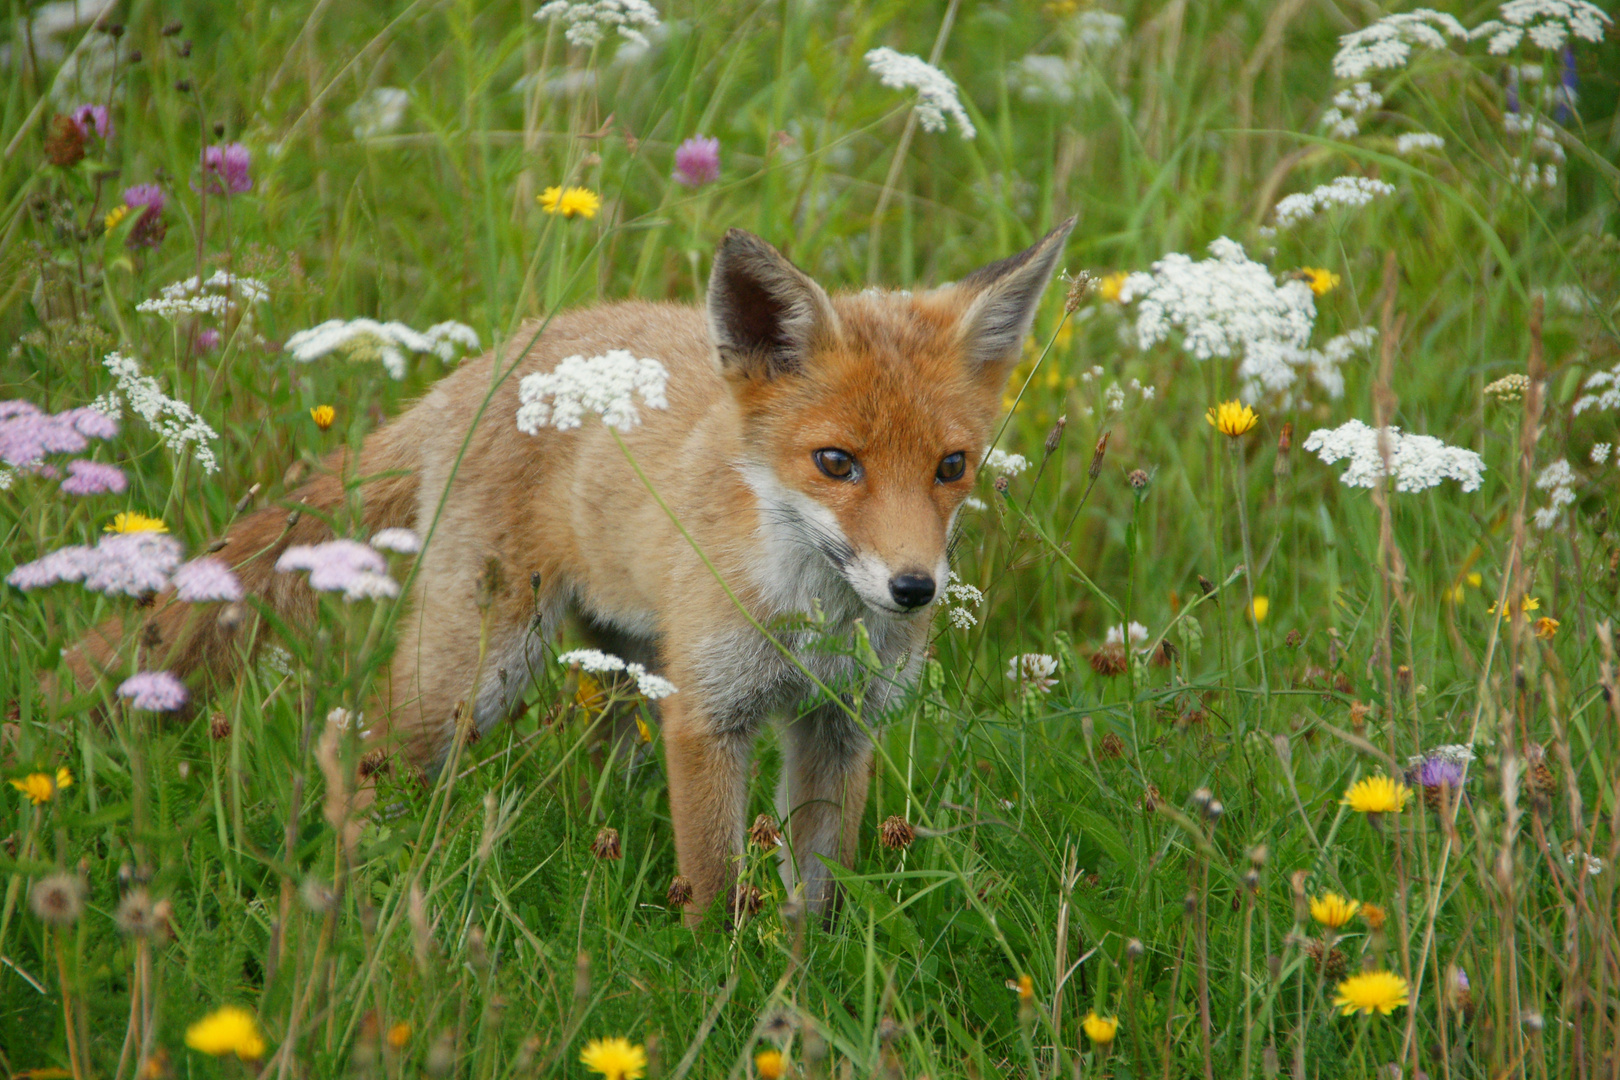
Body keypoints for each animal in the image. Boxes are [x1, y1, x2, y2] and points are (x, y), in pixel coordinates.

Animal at [66, 216, 1075, 919]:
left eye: (952, 467)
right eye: (836, 463)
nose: (914, 589)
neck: (814, 622)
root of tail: (479, 371)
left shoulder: (839, 722)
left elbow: (818, 890)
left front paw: (800, 982)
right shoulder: (707, 717)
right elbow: (716, 885)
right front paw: (724, 984)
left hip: (623, 666)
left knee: (593, 762)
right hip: (481, 671)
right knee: (355, 741)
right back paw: (368, 881)